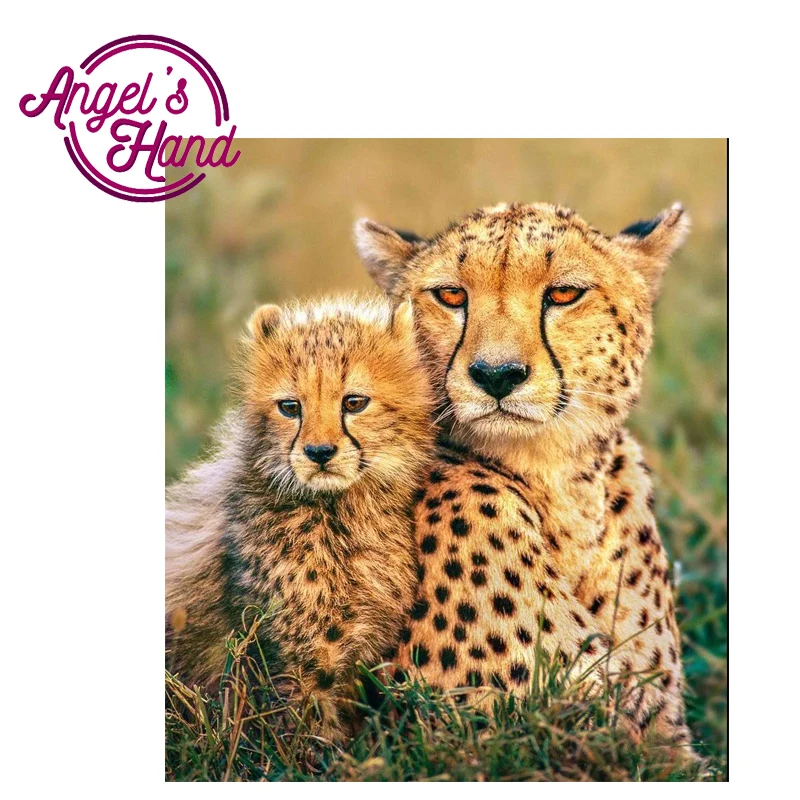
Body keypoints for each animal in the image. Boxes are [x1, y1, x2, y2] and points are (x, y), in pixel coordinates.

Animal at [165, 296, 435, 741]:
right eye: (290, 407)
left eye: (354, 402)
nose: (319, 452)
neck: (339, 515)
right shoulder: (300, 667)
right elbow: (309, 739)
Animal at [355, 201, 695, 753]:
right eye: (451, 295)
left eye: (564, 293)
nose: (497, 374)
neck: (557, 484)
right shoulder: (485, 739)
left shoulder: (663, 743)